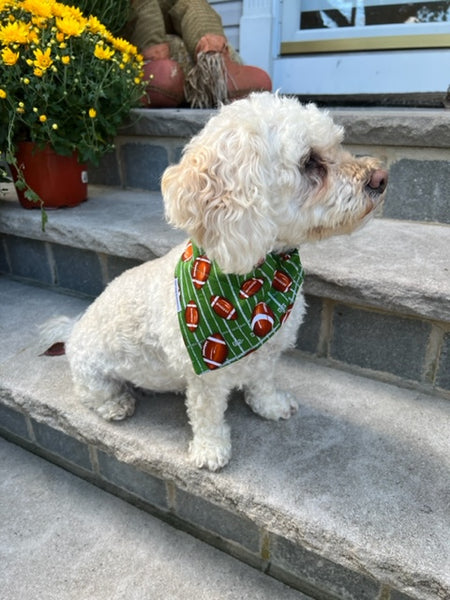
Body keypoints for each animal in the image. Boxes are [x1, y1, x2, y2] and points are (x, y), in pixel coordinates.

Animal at [43, 92, 386, 468]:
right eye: (310, 162)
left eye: (338, 144)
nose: (382, 177)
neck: (256, 281)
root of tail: (73, 329)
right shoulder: (203, 379)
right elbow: (207, 415)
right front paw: (211, 450)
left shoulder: (268, 352)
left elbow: (263, 382)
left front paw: (271, 406)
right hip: (93, 373)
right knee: (95, 395)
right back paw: (117, 404)